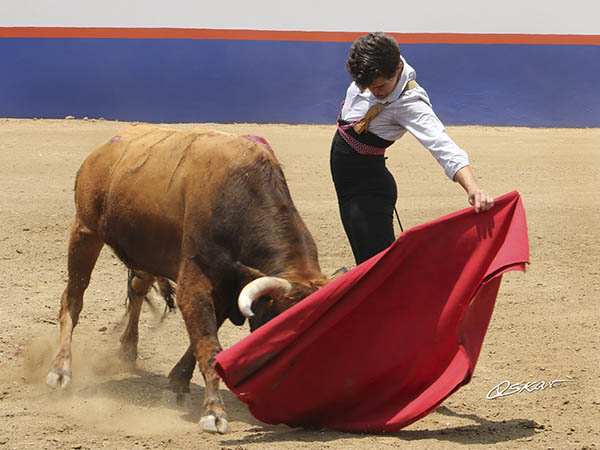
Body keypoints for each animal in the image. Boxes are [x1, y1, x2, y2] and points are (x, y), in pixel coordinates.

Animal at [46, 124, 333, 433]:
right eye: (284, 328)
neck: (241, 194)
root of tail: (102, 150)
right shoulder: (194, 284)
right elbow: (208, 345)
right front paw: (213, 411)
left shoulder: (228, 289)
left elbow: (202, 343)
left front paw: (177, 383)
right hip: (85, 232)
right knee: (73, 300)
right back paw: (60, 370)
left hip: (144, 252)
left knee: (137, 290)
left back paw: (127, 350)